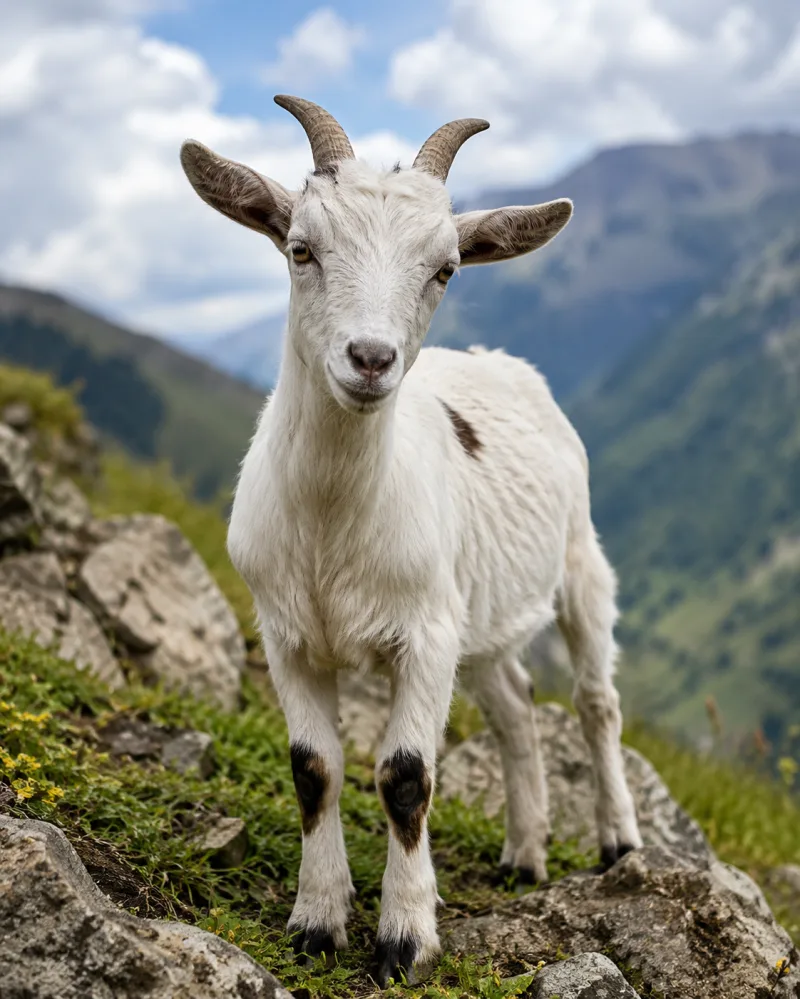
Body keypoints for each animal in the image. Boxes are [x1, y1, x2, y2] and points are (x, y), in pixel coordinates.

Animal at [180, 96, 642, 988]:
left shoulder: (424, 633)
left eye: (446, 269)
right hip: (481, 610)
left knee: (595, 700)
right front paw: (317, 921)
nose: (370, 358)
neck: (333, 522)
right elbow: (314, 767)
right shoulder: (286, 633)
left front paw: (405, 939)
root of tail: (504, 365)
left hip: (578, 562)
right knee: (514, 707)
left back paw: (619, 843)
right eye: (301, 248)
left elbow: (405, 775)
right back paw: (523, 855)